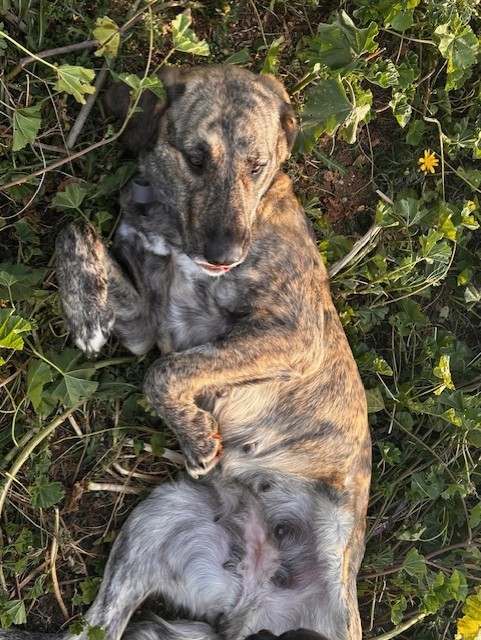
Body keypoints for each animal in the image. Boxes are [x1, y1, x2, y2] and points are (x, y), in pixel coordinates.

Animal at [7, 65, 371, 640]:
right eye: (196, 158)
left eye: (257, 166)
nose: (225, 254)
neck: (173, 227)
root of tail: (249, 605)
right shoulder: (145, 323)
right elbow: (74, 226)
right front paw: (85, 311)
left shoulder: (292, 334)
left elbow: (166, 370)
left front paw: (196, 436)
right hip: (155, 522)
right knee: (99, 625)